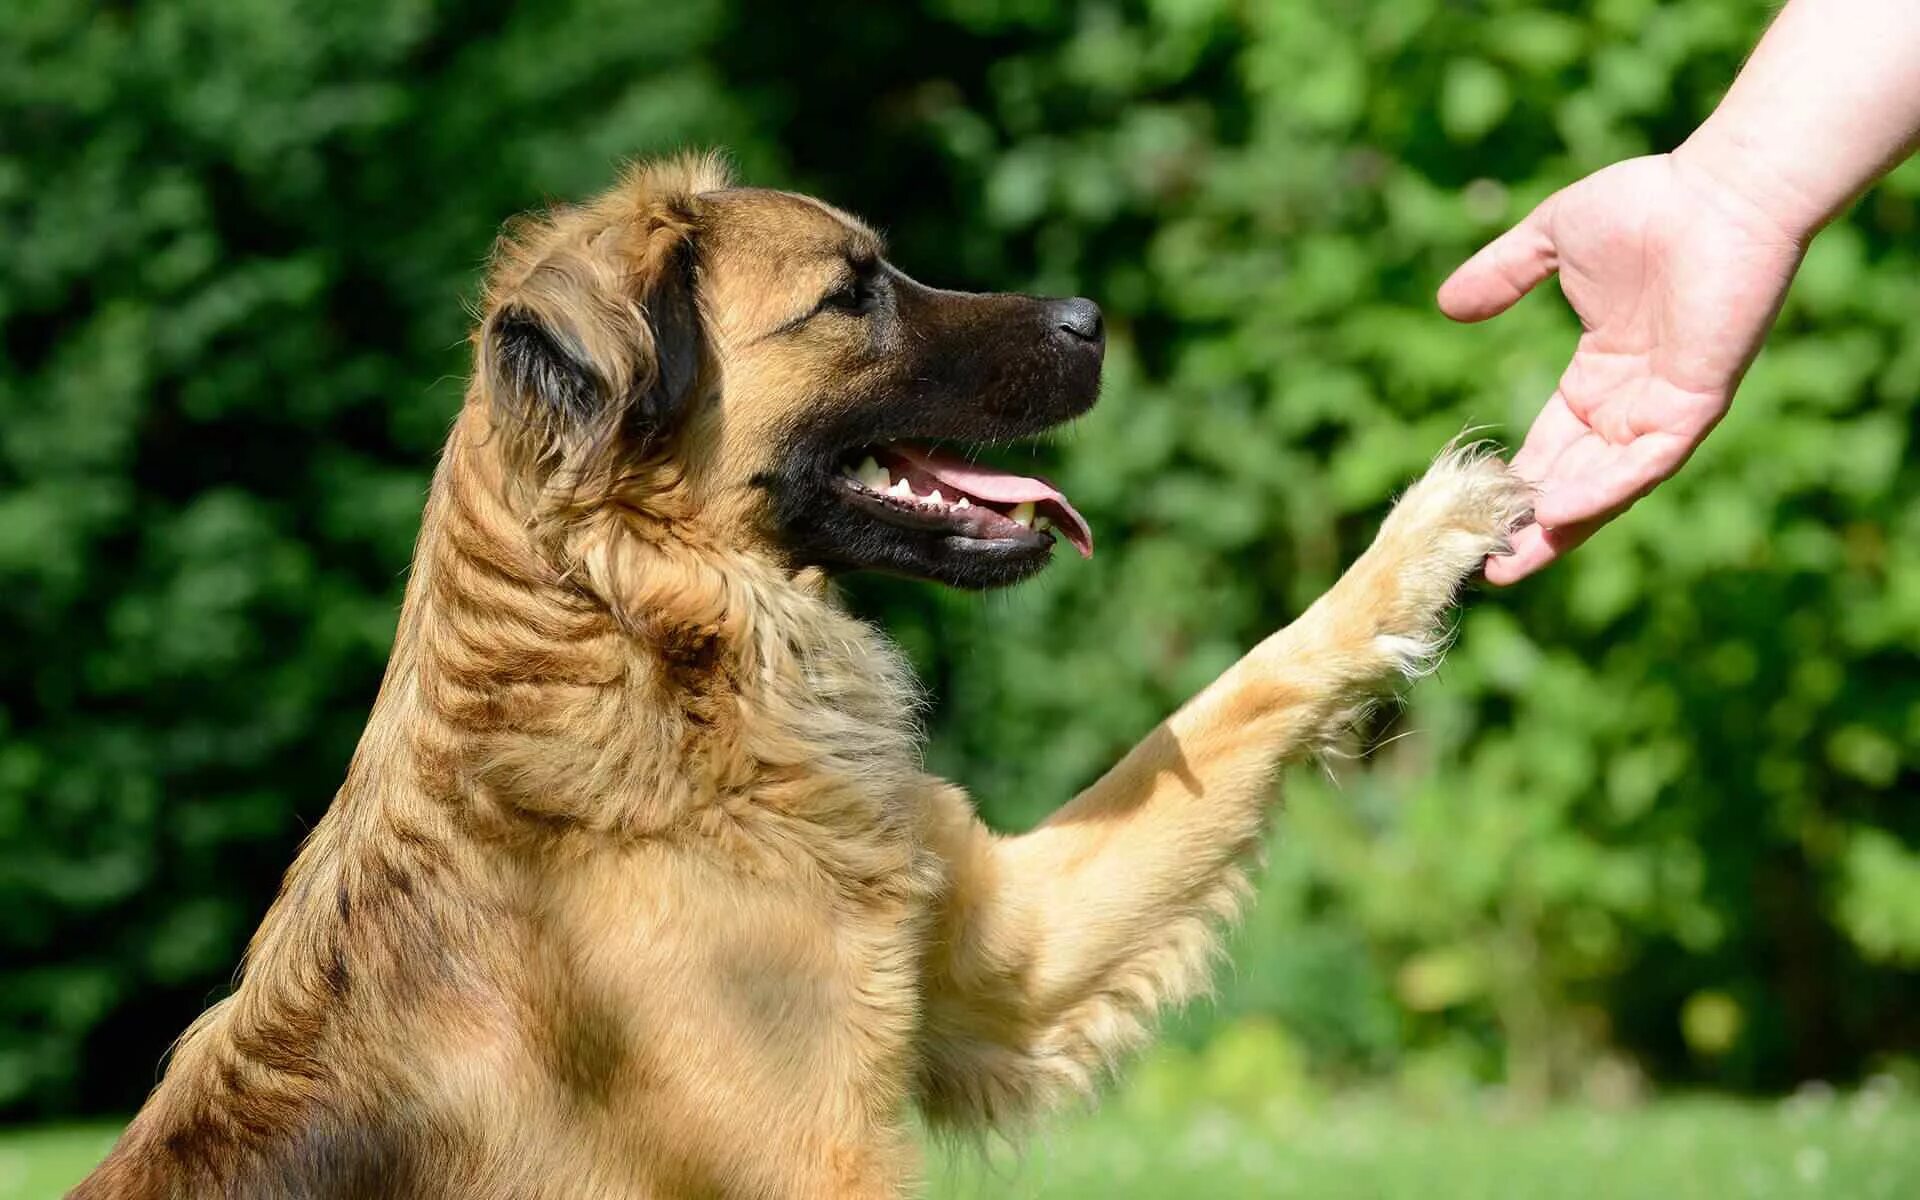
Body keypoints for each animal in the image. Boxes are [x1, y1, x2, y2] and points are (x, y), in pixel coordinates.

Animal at [74, 154, 1528, 1190]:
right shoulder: (816, 1157)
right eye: (851, 292)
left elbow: (1245, 688)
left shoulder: (1002, 961)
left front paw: (1425, 539)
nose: (1092, 318)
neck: (654, 656)